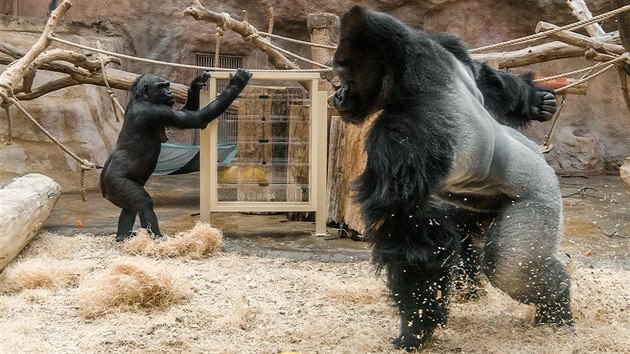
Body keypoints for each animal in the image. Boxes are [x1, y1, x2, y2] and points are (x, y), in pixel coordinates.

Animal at [101, 68, 252, 242]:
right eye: (161, 86)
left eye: (167, 85)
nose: (169, 92)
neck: (143, 99)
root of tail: (103, 188)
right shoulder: (158, 111)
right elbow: (197, 119)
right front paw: (237, 83)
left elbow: (188, 112)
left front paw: (195, 85)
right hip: (116, 183)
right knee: (143, 203)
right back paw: (157, 238)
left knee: (130, 207)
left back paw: (123, 235)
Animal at [334, 6, 576, 352]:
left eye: (346, 77)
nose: (337, 95)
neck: (410, 72)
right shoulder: (443, 48)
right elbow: (483, 77)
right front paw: (532, 99)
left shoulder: (403, 135)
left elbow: (407, 233)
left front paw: (415, 329)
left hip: (541, 198)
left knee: (508, 267)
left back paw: (556, 302)